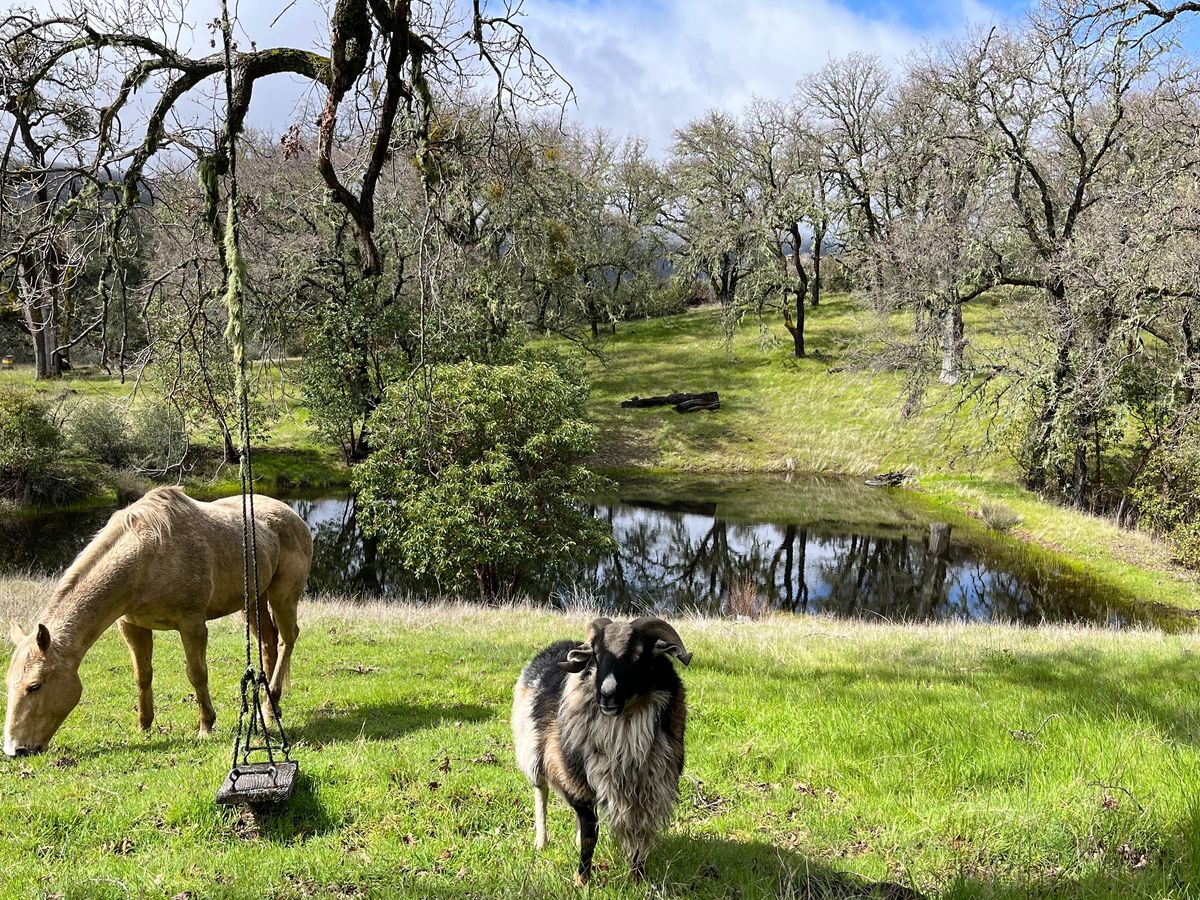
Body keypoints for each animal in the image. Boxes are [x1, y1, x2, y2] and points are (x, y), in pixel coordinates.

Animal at [4, 486, 313, 757]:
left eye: (35, 686)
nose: (15, 750)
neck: (147, 556)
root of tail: (291, 514)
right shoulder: (132, 626)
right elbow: (142, 675)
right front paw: (144, 726)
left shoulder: (192, 624)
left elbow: (197, 674)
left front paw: (206, 726)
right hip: (253, 600)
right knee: (268, 642)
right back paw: (267, 707)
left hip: (282, 596)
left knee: (287, 639)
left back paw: (271, 704)